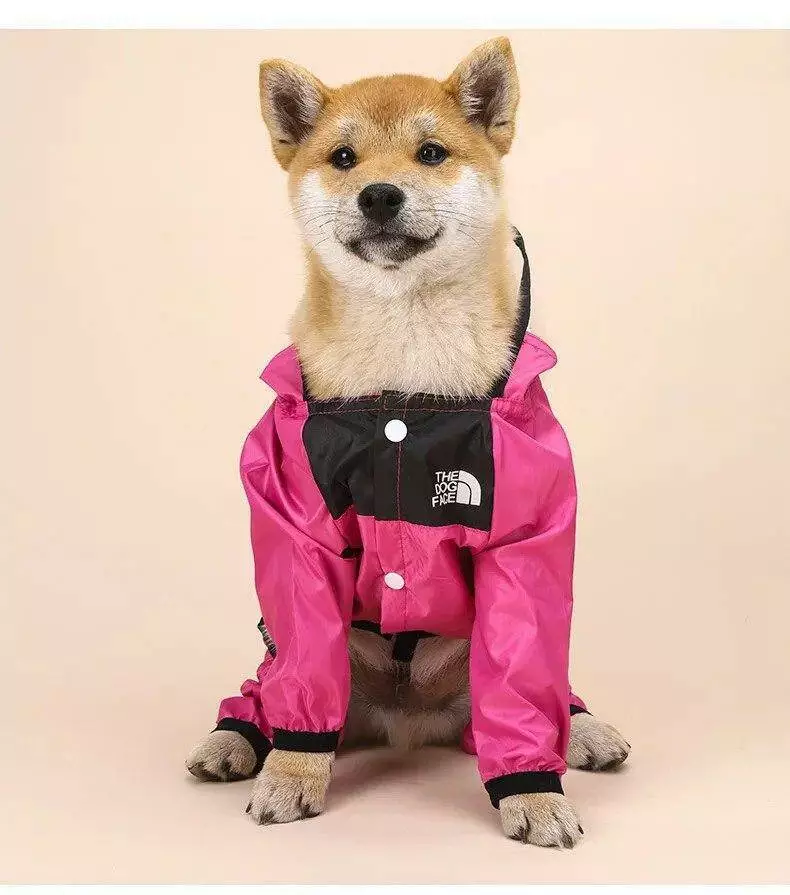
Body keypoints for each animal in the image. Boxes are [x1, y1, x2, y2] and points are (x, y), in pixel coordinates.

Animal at [186, 37, 630, 848]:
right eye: (343, 157)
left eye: (430, 153)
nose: (379, 195)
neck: (402, 385)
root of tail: (407, 722)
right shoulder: (294, 532)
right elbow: (303, 674)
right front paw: (291, 772)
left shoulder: (525, 534)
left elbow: (525, 673)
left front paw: (533, 789)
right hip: (296, 656)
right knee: (271, 688)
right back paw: (237, 737)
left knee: (539, 694)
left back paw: (582, 728)